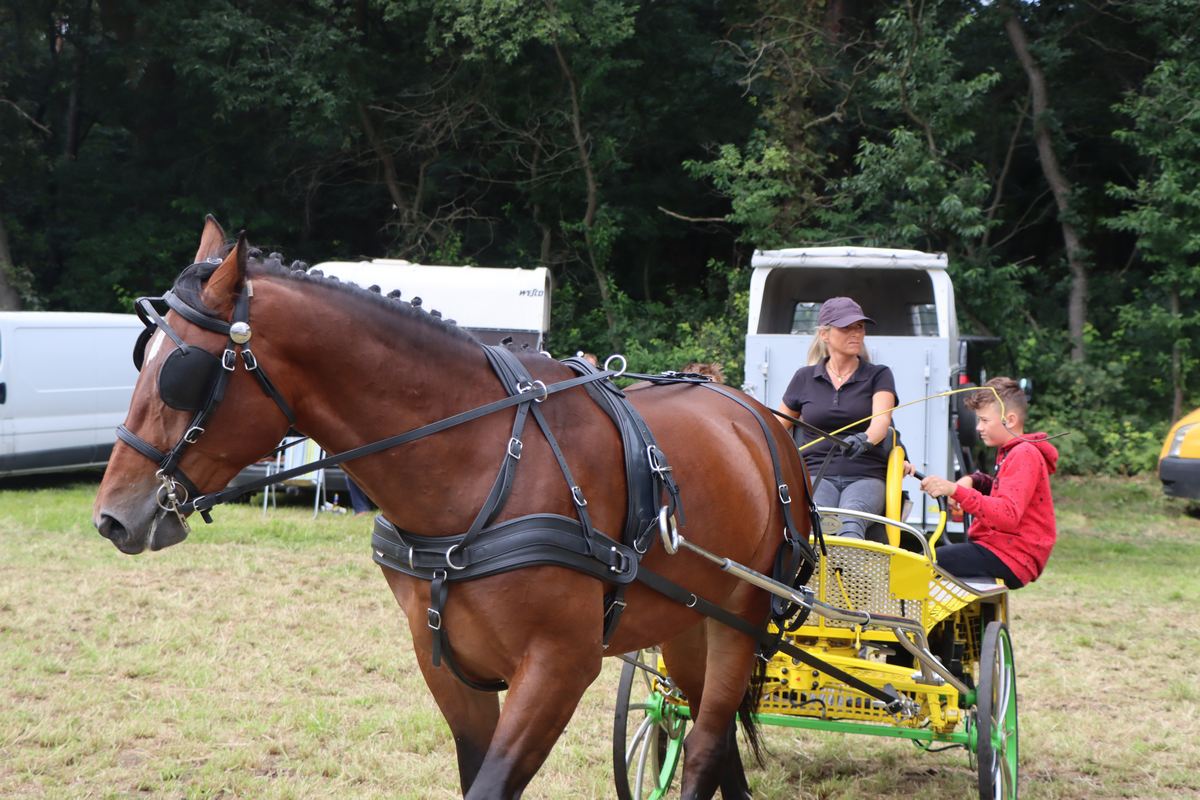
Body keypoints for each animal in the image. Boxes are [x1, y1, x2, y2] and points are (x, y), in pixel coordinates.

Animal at [88, 215, 811, 796]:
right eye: (143, 356)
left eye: (181, 372)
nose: (113, 515)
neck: (482, 464)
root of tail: (756, 415)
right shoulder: (448, 668)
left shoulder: (559, 666)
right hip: (687, 624)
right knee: (716, 745)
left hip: (740, 620)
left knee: (705, 747)